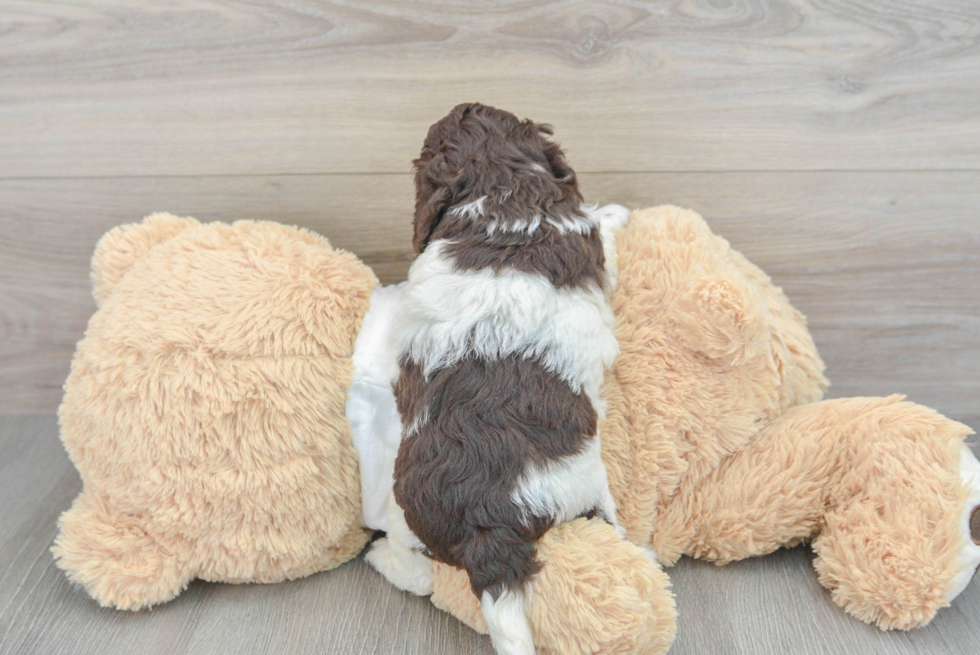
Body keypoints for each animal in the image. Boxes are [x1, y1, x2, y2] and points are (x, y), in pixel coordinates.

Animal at [368, 104, 628, 655]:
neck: (504, 190)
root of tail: (491, 526)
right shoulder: (587, 242)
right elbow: (602, 229)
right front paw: (618, 211)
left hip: (412, 506)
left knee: (418, 574)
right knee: (417, 577)